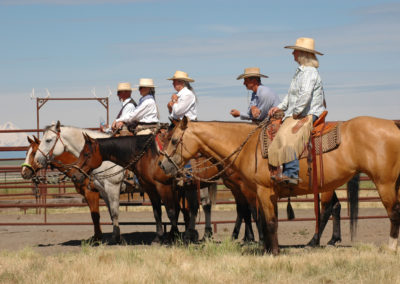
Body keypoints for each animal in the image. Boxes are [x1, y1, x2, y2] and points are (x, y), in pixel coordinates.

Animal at [159, 116, 400, 254]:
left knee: (392, 212)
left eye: (174, 140)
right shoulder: (263, 194)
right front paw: (265, 248)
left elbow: (270, 222)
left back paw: (389, 247)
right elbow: (264, 220)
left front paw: (273, 252)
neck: (249, 147)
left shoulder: (262, 191)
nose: (162, 165)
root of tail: (392, 124)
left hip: (384, 183)